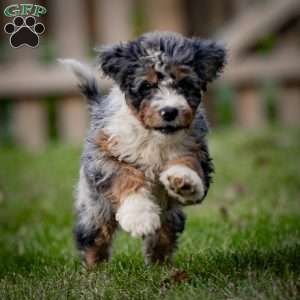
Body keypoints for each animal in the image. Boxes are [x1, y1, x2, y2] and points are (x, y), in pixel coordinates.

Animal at [61, 31, 225, 266]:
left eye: (184, 84)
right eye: (147, 86)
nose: (169, 111)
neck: (154, 136)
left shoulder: (196, 146)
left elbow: (189, 161)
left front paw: (184, 181)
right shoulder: (105, 154)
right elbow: (124, 176)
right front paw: (140, 216)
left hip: (170, 216)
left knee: (162, 235)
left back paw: (158, 264)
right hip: (96, 206)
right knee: (94, 237)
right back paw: (96, 268)